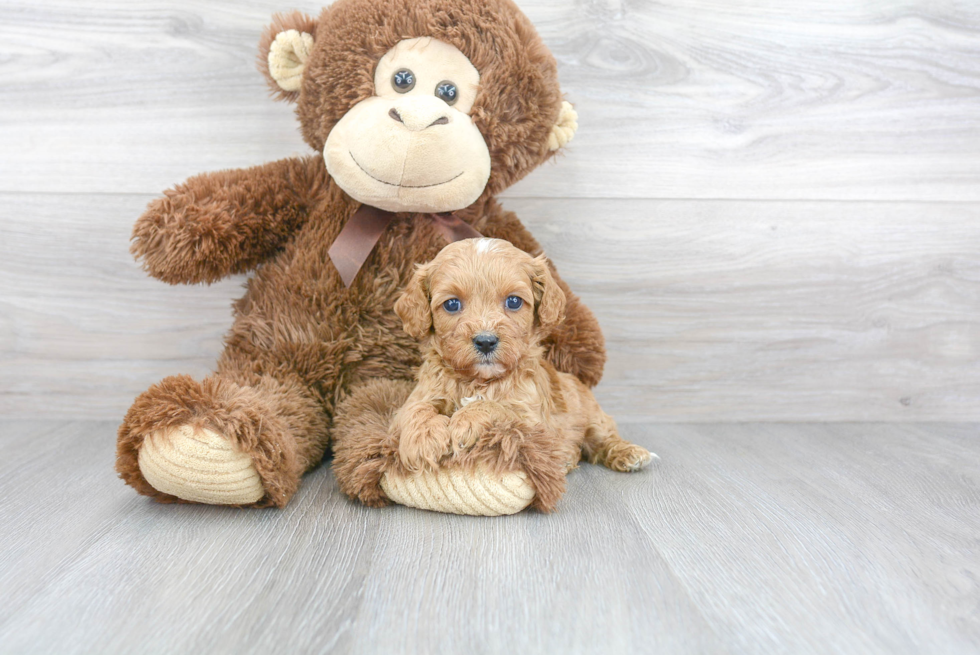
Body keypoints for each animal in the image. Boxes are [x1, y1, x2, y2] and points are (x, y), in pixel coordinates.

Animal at [388, 238, 652, 510]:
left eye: (513, 301)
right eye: (452, 304)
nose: (485, 341)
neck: (478, 380)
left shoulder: (534, 422)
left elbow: (498, 408)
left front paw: (465, 420)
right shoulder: (418, 397)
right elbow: (416, 409)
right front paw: (423, 441)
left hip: (594, 418)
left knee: (603, 439)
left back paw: (630, 453)